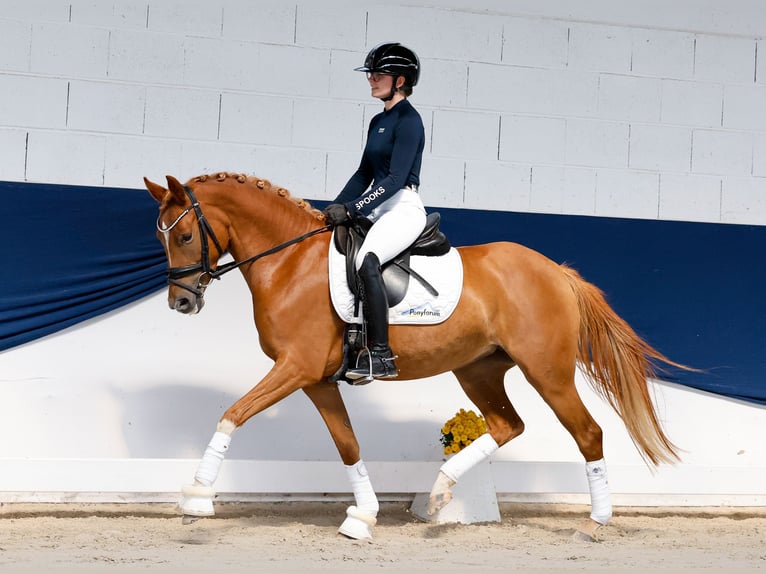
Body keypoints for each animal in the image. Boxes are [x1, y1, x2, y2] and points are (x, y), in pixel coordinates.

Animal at [144, 171, 686, 541]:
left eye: (185, 235)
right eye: (160, 236)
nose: (181, 303)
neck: (291, 263)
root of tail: (557, 271)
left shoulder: (294, 367)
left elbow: (232, 413)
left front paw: (197, 497)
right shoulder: (315, 379)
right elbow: (348, 445)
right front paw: (362, 517)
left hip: (547, 371)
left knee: (588, 433)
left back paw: (595, 522)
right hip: (477, 370)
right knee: (507, 425)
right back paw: (441, 492)